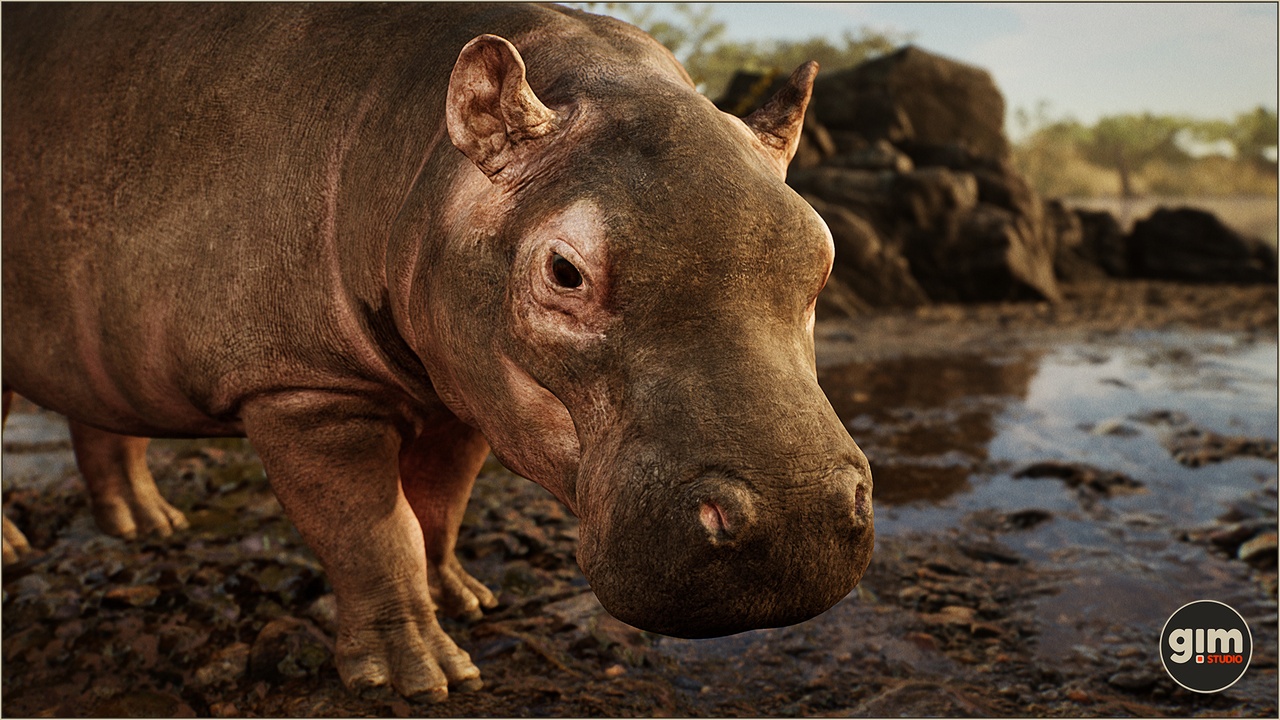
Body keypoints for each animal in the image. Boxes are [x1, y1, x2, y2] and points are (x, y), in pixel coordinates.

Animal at [1, 2, 873, 700]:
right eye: (564, 270)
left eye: (823, 251)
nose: (797, 520)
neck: (427, 159)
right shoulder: (305, 388)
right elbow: (371, 531)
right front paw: (422, 680)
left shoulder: (465, 389)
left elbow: (439, 508)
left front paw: (468, 602)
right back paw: (18, 550)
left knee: (100, 411)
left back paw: (149, 528)